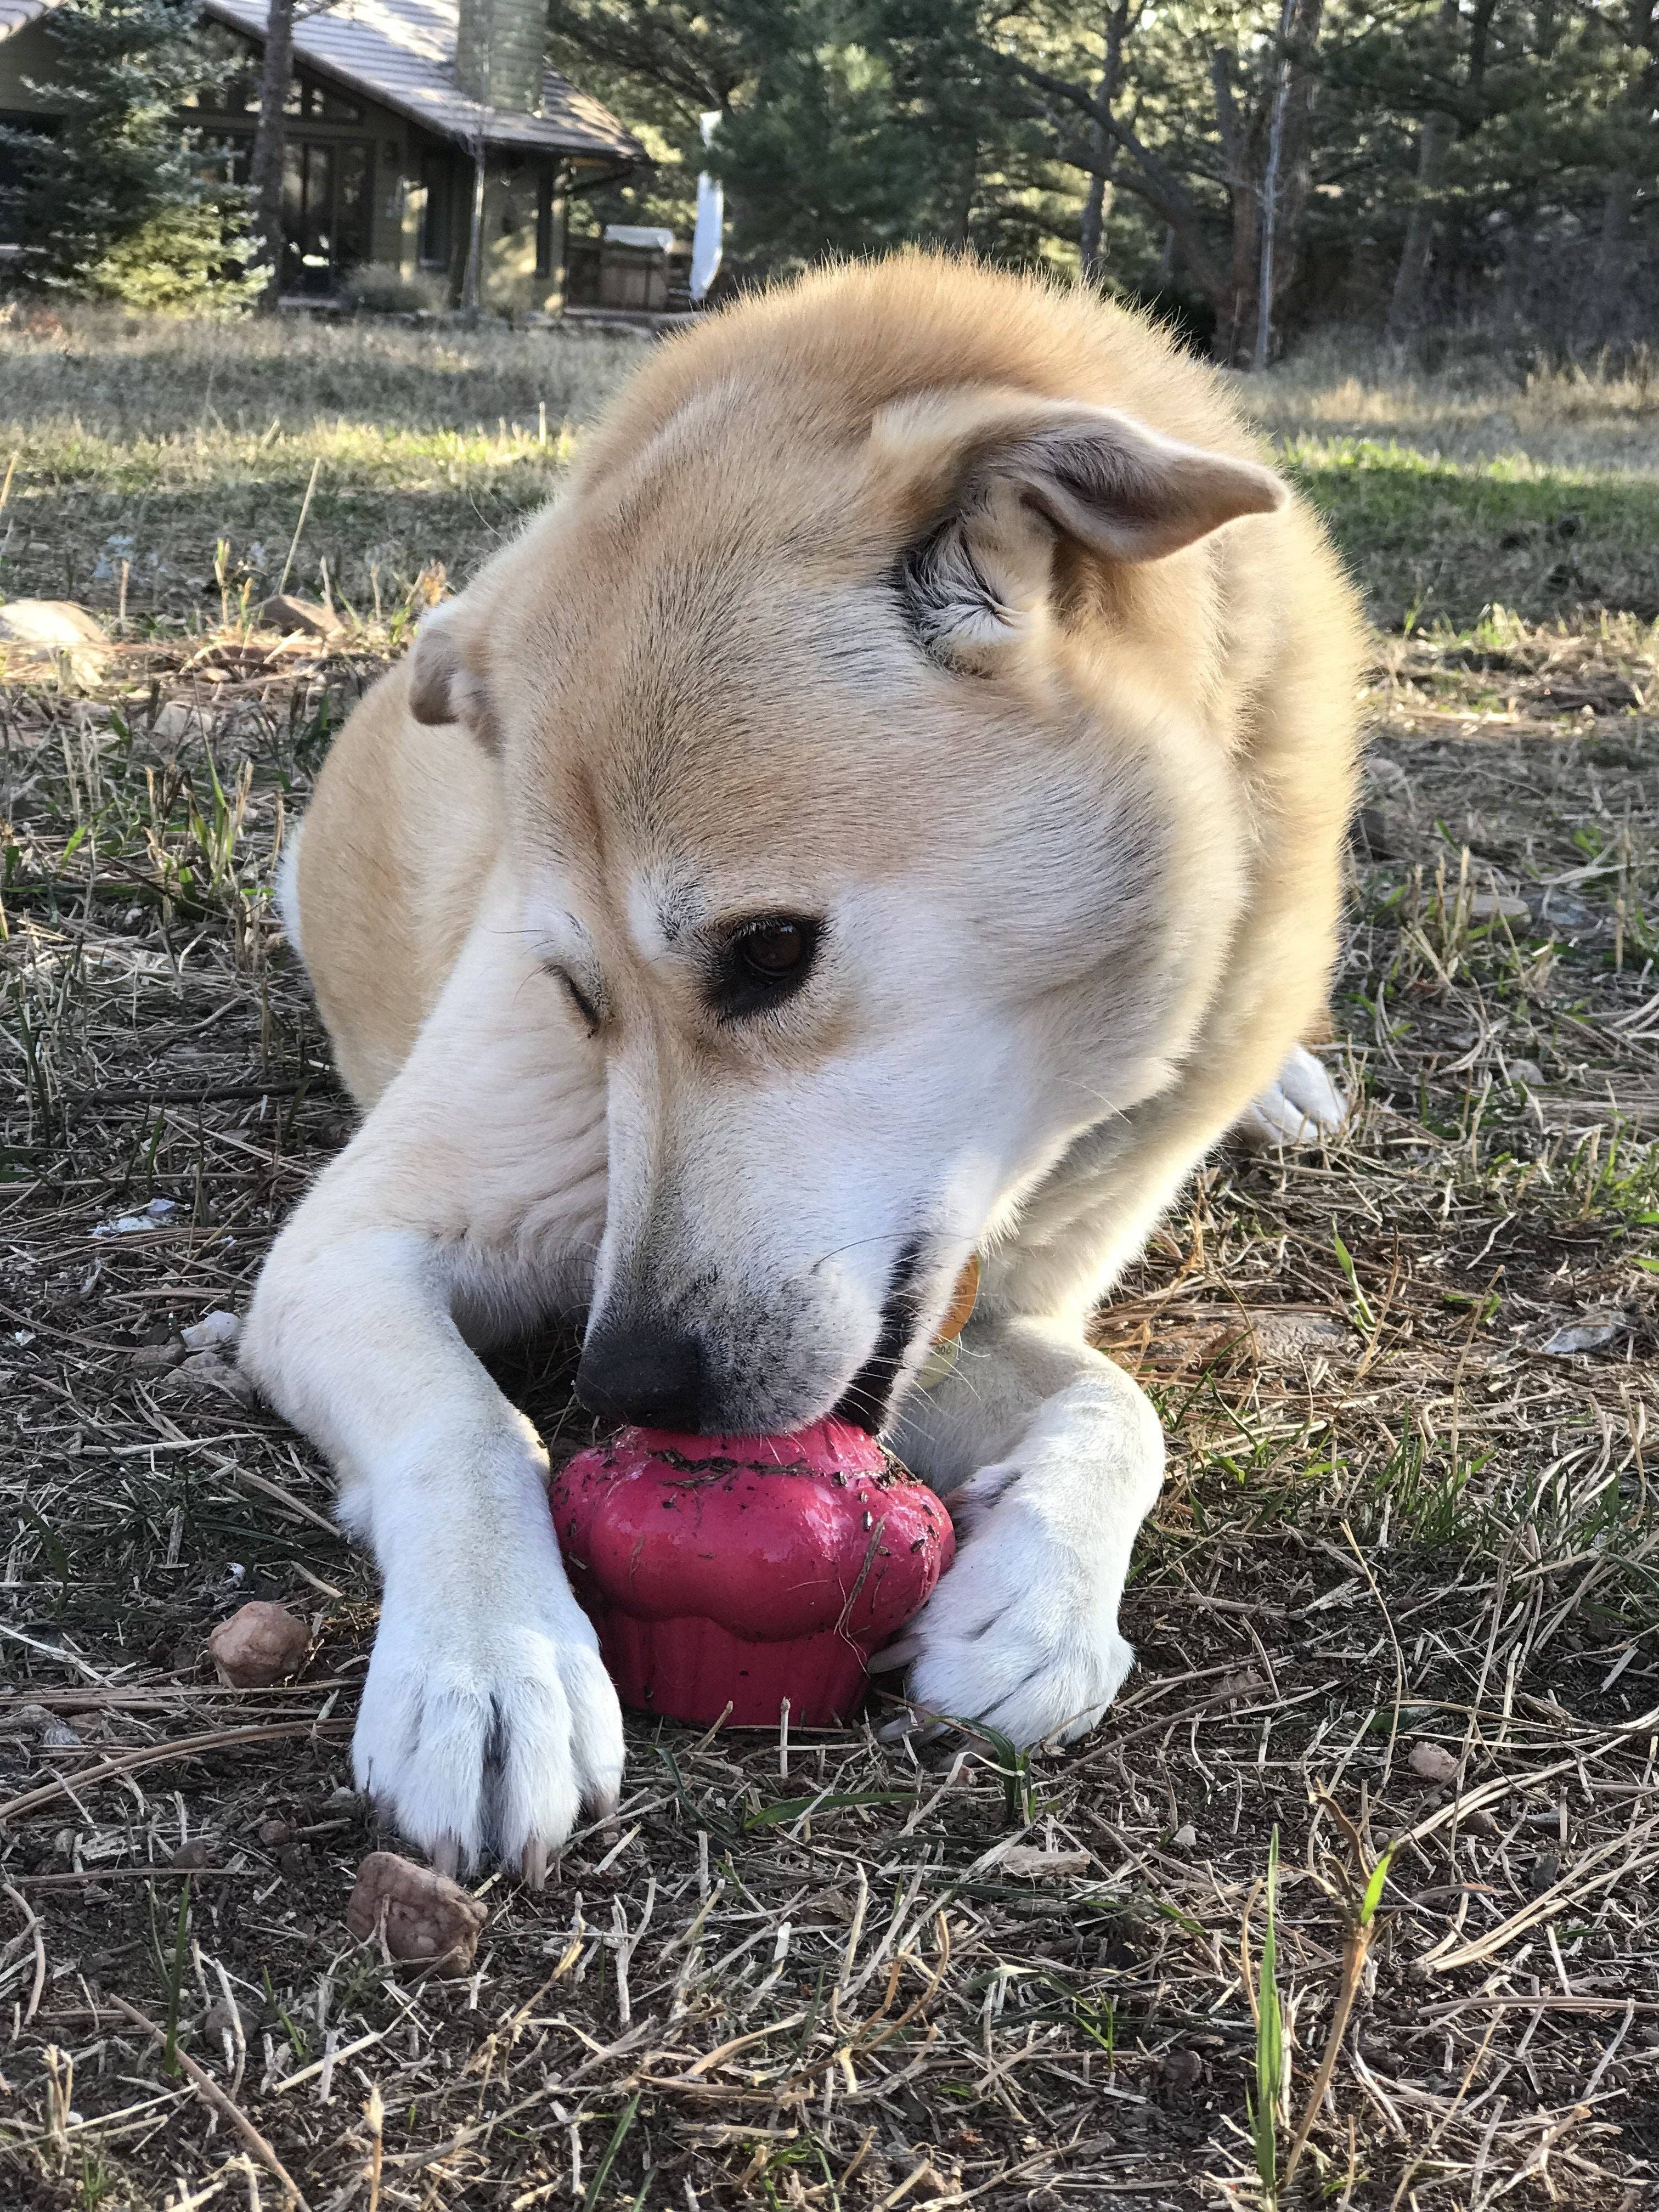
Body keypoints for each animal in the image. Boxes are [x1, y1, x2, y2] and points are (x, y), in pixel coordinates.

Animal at [243, 258, 1362, 1884]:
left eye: (770, 953)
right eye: (576, 994)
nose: (626, 1382)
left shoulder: (978, 1312)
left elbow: (1120, 1403)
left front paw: (1039, 1606)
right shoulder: (345, 1251)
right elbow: (466, 1425)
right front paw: (493, 1666)